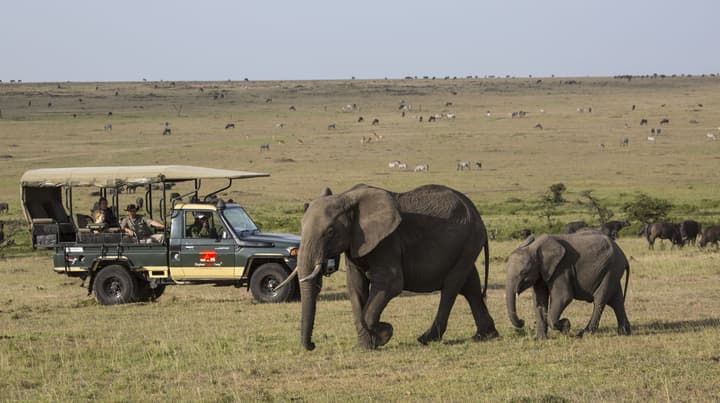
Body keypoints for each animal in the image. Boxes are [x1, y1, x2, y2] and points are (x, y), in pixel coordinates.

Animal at [279, 184, 499, 351]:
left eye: (330, 231)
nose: (312, 345)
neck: (346, 198)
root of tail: (477, 214)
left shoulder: (386, 241)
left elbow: (391, 284)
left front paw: (383, 334)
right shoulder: (355, 243)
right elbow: (355, 287)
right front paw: (363, 346)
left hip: (469, 240)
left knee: (452, 286)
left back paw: (426, 339)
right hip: (466, 245)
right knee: (470, 284)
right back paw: (485, 336)